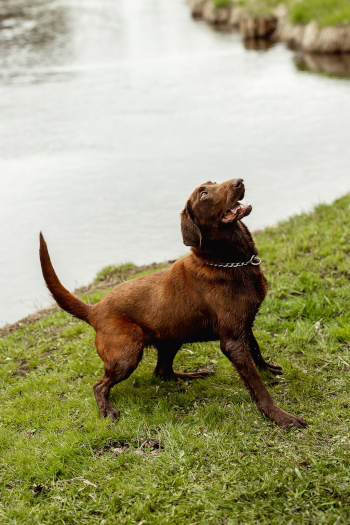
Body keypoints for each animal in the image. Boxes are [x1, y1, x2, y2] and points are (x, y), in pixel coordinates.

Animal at [39, 178, 306, 428]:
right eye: (204, 193)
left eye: (213, 183)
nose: (238, 181)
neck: (228, 262)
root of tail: (94, 310)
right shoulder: (232, 341)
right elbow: (256, 384)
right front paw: (280, 416)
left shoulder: (245, 325)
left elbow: (257, 351)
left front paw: (268, 369)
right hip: (126, 355)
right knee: (100, 385)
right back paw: (107, 408)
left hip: (172, 338)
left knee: (162, 372)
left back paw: (193, 375)